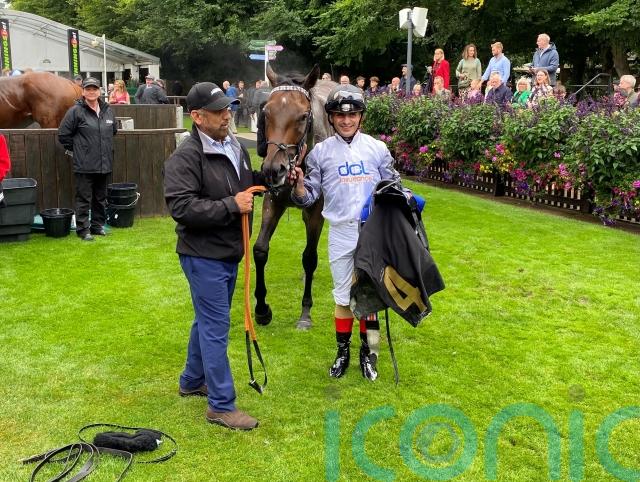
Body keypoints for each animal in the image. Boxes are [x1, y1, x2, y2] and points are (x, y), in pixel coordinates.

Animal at [253, 64, 335, 330]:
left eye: (302, 116)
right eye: (266, 112)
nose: (273, 169)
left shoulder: (316, 211)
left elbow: (309, 257)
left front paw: (305, 313)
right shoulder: (273, 200)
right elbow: (260, 249)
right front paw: (261, 309)